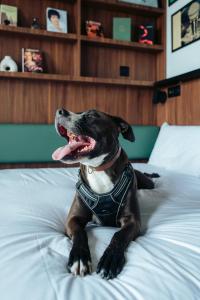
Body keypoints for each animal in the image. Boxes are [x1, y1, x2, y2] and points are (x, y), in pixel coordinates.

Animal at [52, 109, 155, 280]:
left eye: (92, 116)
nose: (60, 111)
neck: (98, 169)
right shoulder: (73, 219)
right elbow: (80, 233)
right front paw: (79, 258)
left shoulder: (133, 221)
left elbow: (119, 236)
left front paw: (110, 260)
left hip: (148, 183)